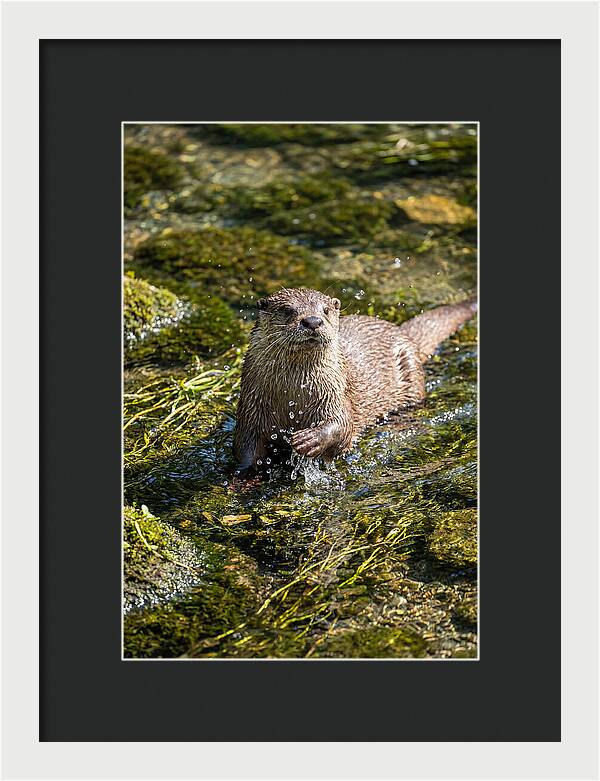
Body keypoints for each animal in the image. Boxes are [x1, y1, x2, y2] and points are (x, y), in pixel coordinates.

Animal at [233, 288, 476, 472]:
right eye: (287, 310)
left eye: (325, 310)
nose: (312, 321)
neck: (293, 395)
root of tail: (402, 332)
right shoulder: (251, 408)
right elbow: (245, 449)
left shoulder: (336, 393)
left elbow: (342, 425)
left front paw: (309, 440)